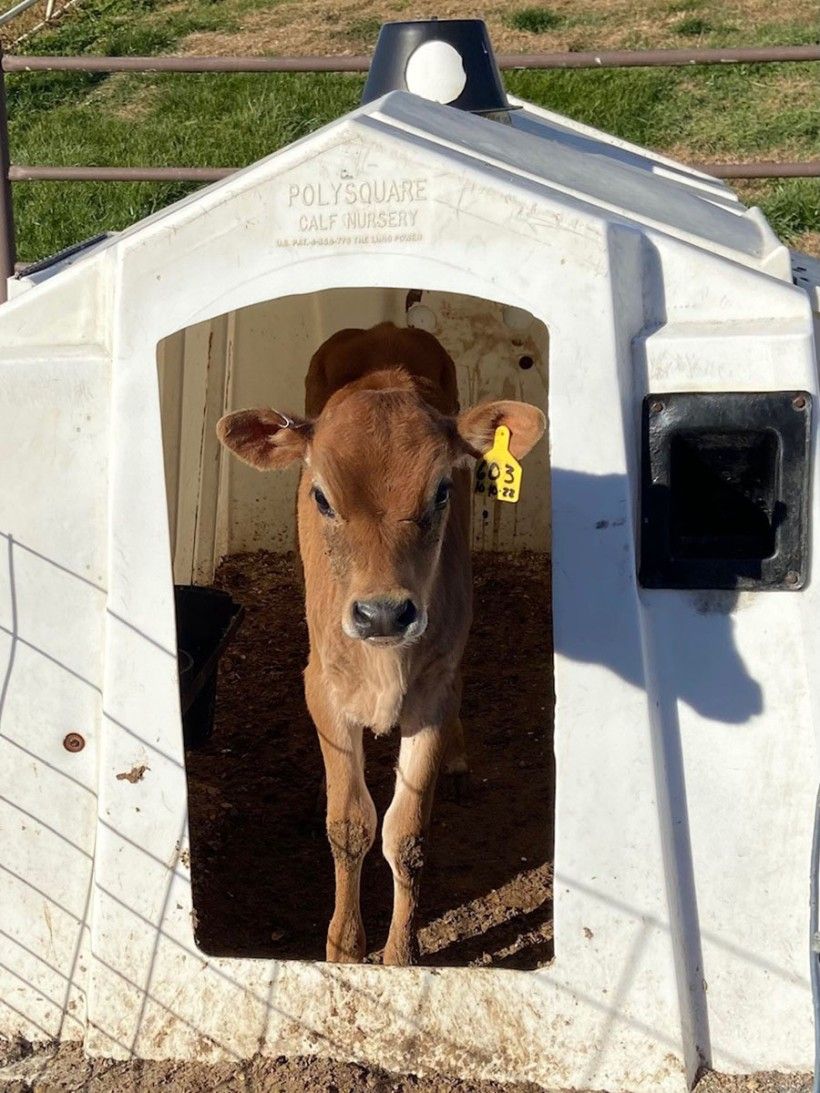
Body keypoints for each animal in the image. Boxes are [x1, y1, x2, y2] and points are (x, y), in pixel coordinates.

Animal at [216, 319, 546, 961]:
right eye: (321, 496)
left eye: (442, 492)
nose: (384, 614)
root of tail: (385, 326)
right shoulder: (322, 689)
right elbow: (349, 825)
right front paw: (345, 947)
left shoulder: (432, 695)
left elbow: (407, 833)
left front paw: (402, 956)